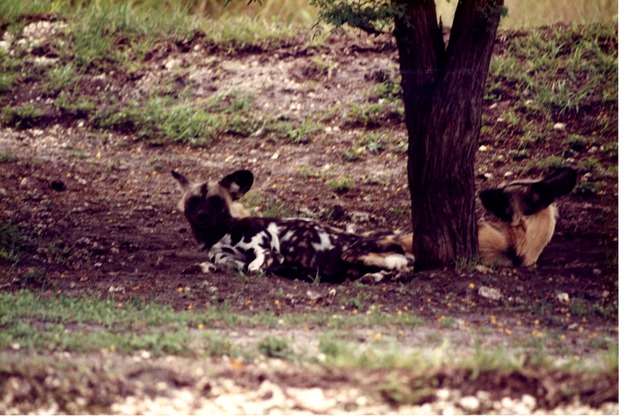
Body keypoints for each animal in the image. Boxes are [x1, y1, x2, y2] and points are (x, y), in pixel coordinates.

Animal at [172, 168, 414, 282]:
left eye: (216, 201)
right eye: (194, 201)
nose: (202, 216)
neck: (221, 234)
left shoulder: (268, 252)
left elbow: (257, 265)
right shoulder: (231, 262)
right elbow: (215, 266)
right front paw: (200, 268)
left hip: (353, 252)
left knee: (406, 264)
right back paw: (374, 277)